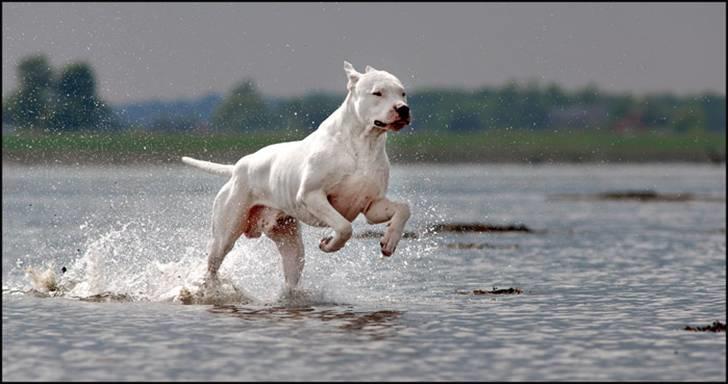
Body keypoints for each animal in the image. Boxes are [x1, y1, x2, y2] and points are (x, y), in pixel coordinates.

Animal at [181, 60, 410, 294]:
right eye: (378, 93)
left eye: (402, 93)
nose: (403, 108)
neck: (364, 143)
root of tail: (238, 167)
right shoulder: (312, 196)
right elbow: (344, 227)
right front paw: (330, 244)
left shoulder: (372, 204)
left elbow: (404, 208)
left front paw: (389, 241)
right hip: (225, 233)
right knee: (214, 263)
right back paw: (209, 288)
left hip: (291, 244)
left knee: (291, 273)